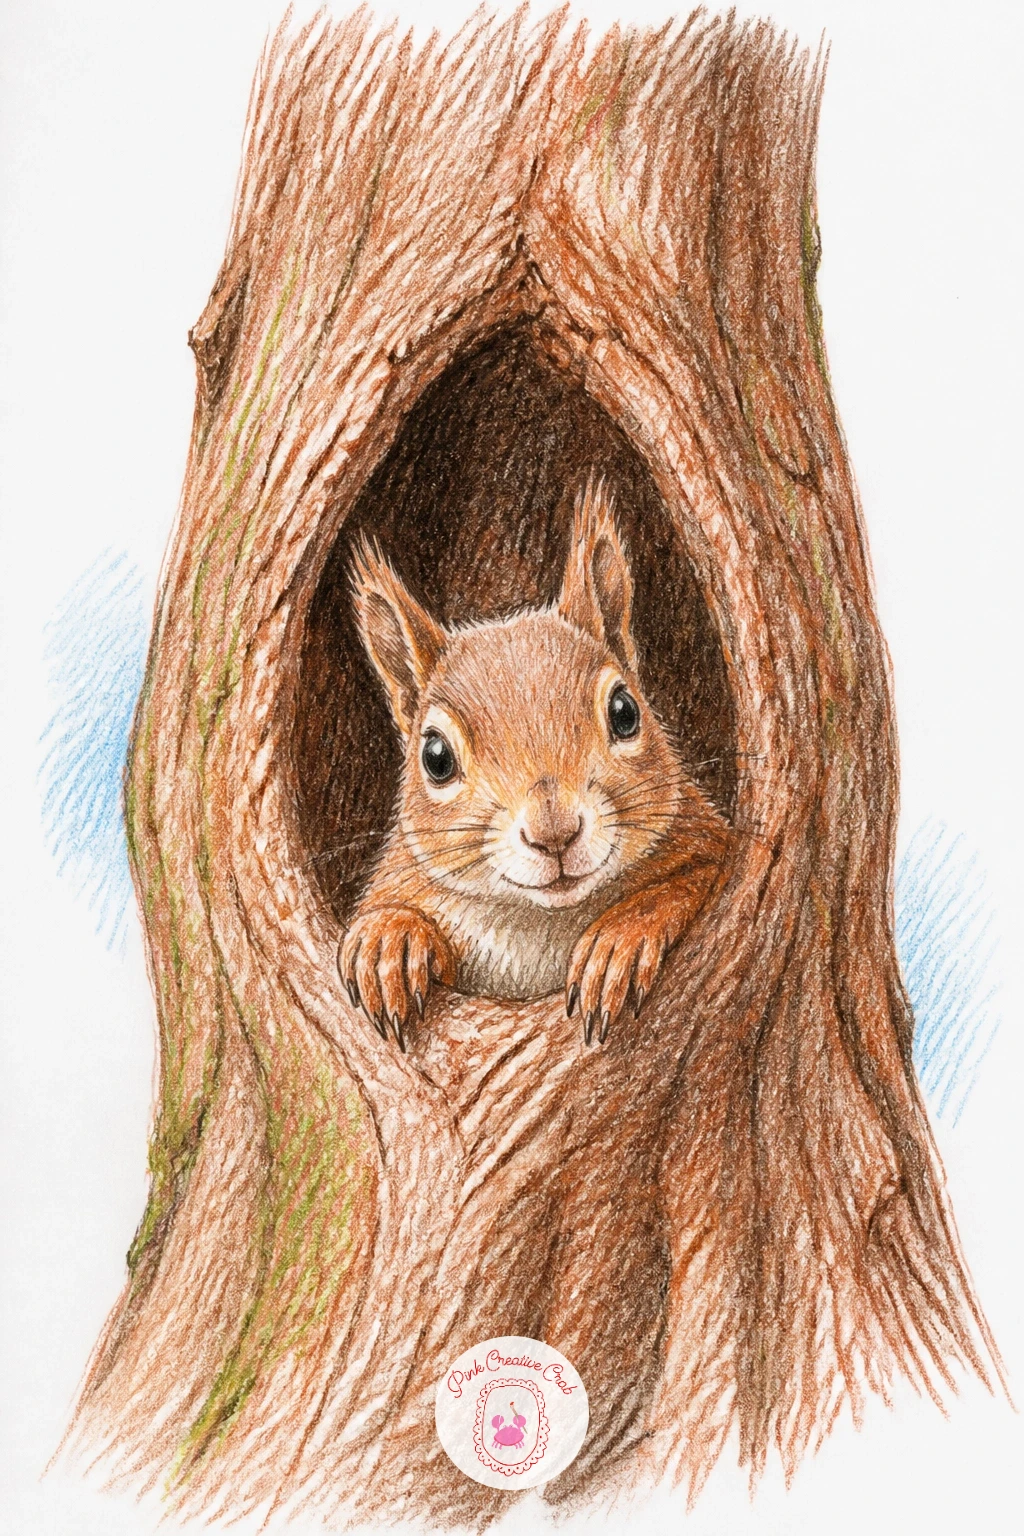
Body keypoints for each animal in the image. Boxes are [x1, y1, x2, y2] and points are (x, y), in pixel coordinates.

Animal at [339, 475, 731, 1049]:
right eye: (435, 756)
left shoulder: (712, 843)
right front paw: (389, 939)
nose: (554, 833)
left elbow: (690, 882)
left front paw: (621, 939)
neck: (538, 923)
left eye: (625, 712)